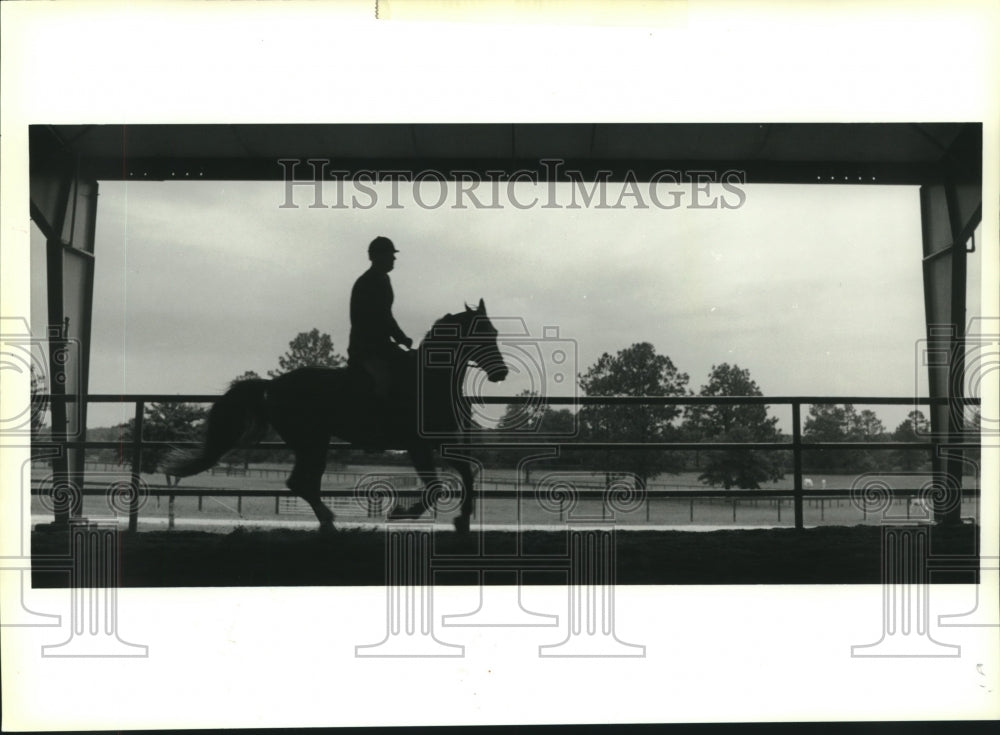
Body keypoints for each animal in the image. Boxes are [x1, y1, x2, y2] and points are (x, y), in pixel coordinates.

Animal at [167, 300, 508, 536]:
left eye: (494, 332)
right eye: (480, 333)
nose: (501, 373)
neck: (429, 379)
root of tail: (272, 385)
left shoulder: (439, 443)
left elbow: (467, 474)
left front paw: (462, 520)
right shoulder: (418, 444)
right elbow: (437, 486)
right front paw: (401, 514)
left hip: (314, 443)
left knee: (305, 482)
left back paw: (328, 523)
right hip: (312, 442)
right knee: (300, 482)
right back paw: (330, 523)